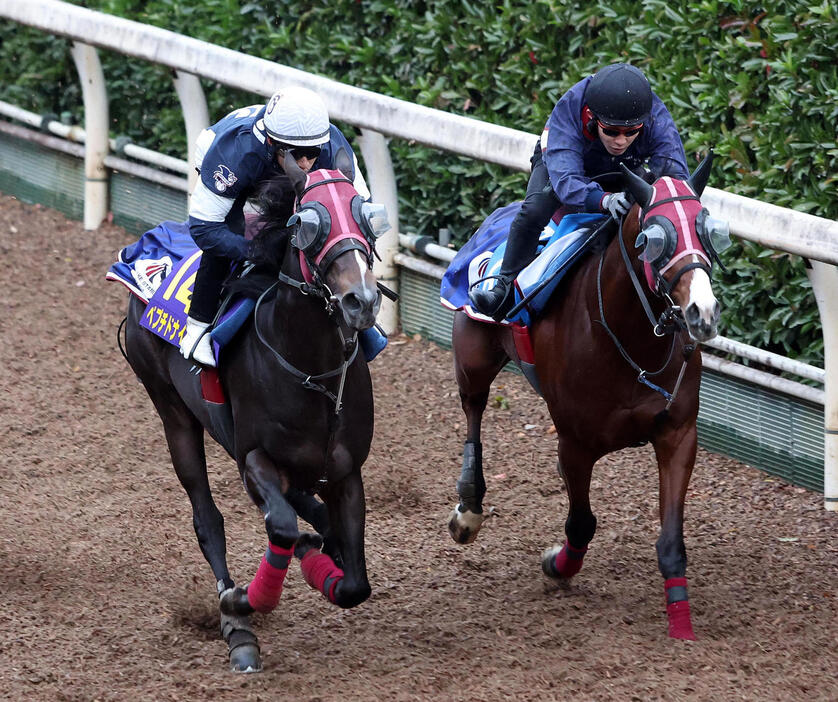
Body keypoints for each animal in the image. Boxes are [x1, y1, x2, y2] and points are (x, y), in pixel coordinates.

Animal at [123, 153, 386, 672]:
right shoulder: (254, 460)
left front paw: (323, 562)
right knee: (208, 519)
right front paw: (244, 600)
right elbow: (280, 525)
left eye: (365, 215)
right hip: (172, 411)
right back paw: (237, 627)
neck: (311, 371)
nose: (361, 301)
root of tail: (144, 252)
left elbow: (354, 586)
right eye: (308, 222)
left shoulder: (346, 471)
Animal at [450, 158, 732, 644]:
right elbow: (582, 522)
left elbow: (671, 541)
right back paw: (469, 509)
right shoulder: (576, 443)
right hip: (473, 357)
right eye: (655, 238)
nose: (703, 312)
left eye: (708, 229)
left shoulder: (678, 434)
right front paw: (557, 565)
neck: (629, 336)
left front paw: (681, 621)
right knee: (474, 411)